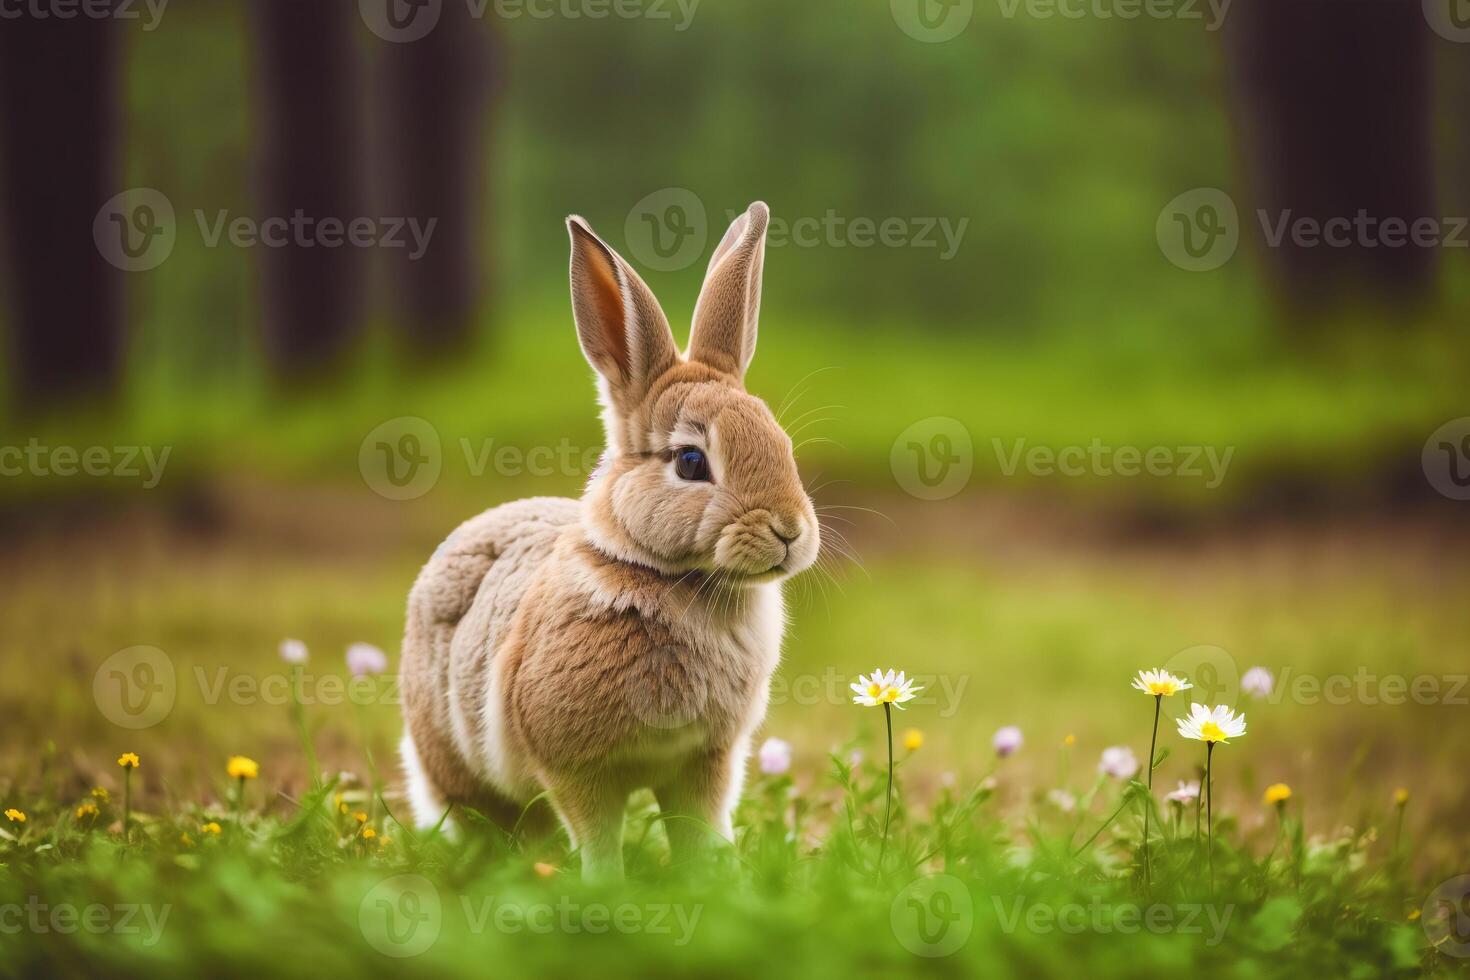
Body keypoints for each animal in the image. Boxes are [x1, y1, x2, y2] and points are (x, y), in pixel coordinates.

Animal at [396, 202, 823, 887]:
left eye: (780, 444)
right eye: (692, 461)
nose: (789, 530)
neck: (667, 578)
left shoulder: (706, 761)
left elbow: (699, 829)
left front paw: (712, 883)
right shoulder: (574, 766)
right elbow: (595, 832)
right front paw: (607, 888)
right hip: (454, 761)